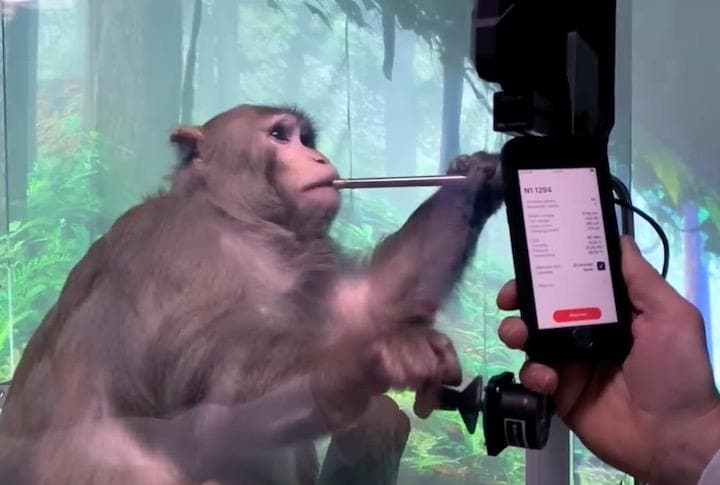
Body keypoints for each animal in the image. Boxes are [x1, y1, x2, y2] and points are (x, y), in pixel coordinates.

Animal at [0, 104, 504, 484]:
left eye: (307, 139)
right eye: (280, 135)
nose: (319, 159)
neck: (236, 220)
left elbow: (365, 301)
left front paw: (476, 178)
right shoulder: (184, 252)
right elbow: (207, 407)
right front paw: (366, 360)